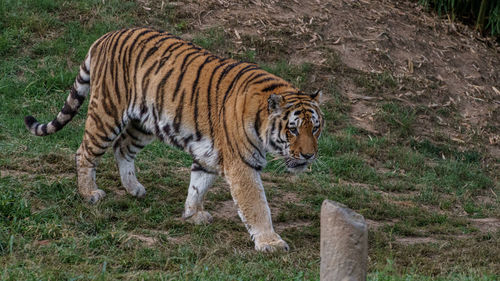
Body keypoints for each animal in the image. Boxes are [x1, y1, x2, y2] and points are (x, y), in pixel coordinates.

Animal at [25, 27, 324, 252]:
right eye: (293, 129)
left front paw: (193, 214)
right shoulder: (242, 165)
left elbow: (198, 184)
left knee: (122, 148)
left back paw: (134, 189)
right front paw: (271, 243)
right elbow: (257, 206)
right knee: (85, 152)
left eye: (315, 129)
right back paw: (89, 193)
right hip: (107, 113)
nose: (309, 156)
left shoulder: (210, 154)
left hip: (144, 123)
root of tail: (106, 36)